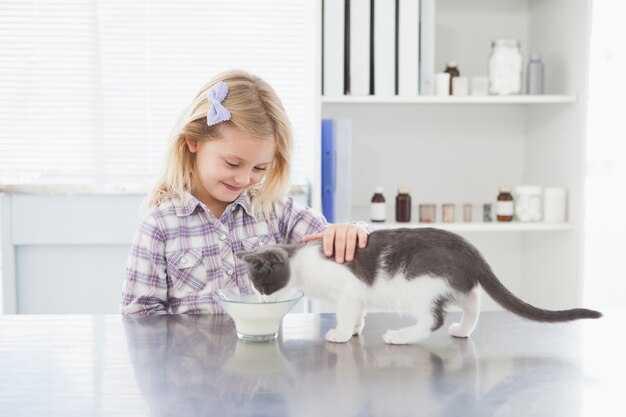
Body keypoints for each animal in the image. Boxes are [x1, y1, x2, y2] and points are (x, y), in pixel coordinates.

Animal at [234, 226, 600, 342]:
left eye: (263, 287)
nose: (261, 302)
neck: (301, 262)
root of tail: (469, 249)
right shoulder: (357, 296)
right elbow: (358, 312)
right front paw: (356, 329)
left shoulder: (348, 289)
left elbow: (346, 311)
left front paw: (341, 333)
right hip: (449, 282)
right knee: (472, 301)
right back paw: (463, 329)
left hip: (420, 284)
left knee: (433, 319)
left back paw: (401, 336)